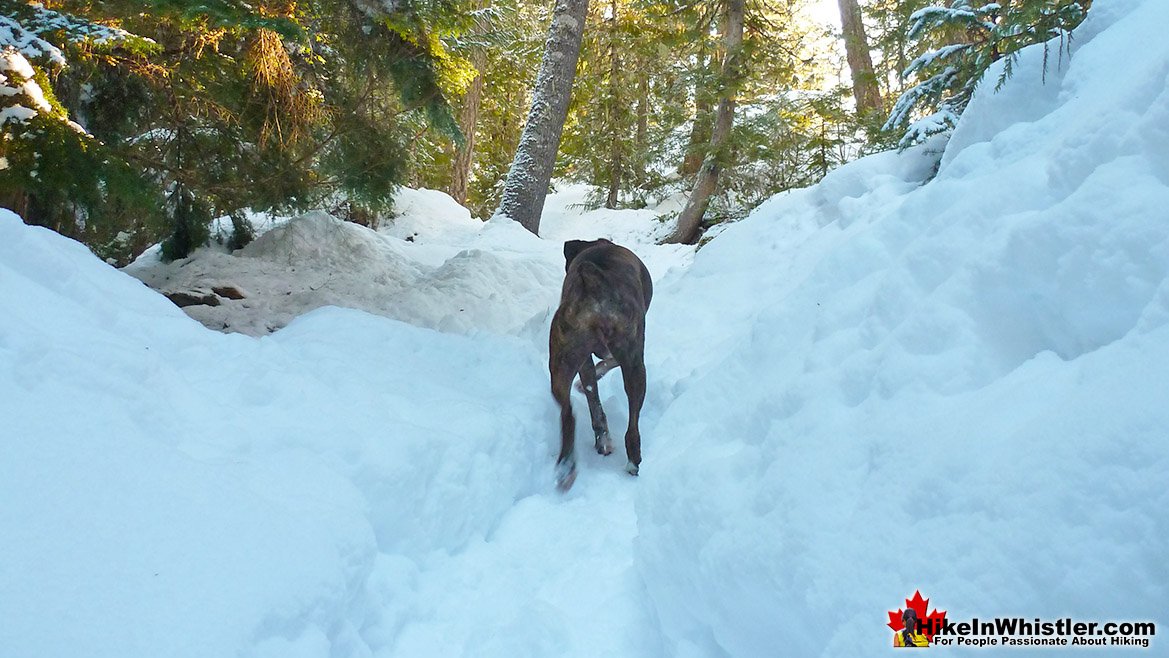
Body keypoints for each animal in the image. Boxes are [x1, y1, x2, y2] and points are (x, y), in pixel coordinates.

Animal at [544, 239, 649, 490]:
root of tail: (593, 282)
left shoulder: (585, 361)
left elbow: (593, 391)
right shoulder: (630, 350)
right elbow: (608, 362)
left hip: (561, 361)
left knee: (568, 414)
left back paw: (567, 467)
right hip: (635, 364)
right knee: (633, 425)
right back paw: (633, 462)